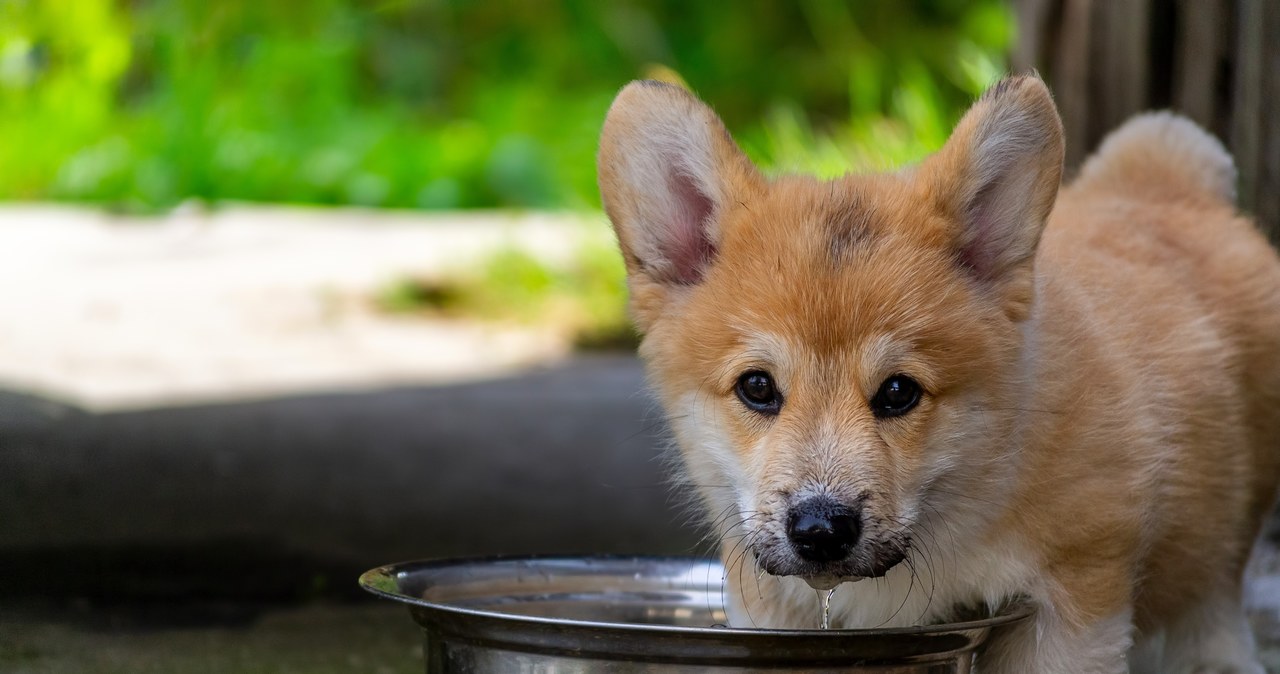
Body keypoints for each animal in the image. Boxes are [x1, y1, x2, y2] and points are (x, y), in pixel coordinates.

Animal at [593, 75, 1280, 674]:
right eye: (757, 388)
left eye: (899, 392)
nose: (821, 531)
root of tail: (1165, 180)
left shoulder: (1075, 596)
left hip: (1220, 544)